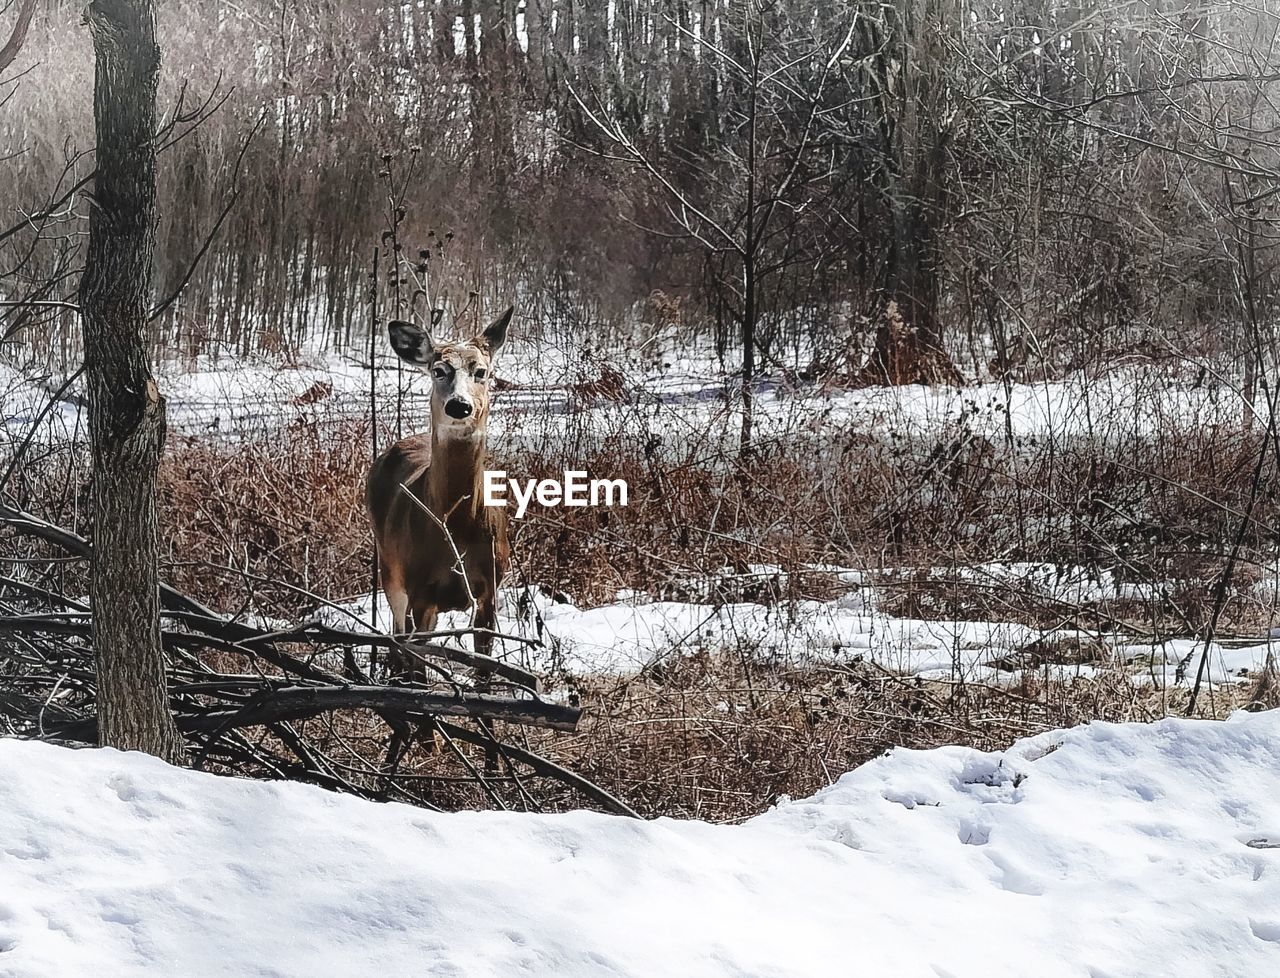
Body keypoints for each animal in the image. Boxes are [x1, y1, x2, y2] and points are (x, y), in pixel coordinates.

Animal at [368, 303, 512, 670]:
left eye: (482, 372)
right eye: (438, 370)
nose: (459, 405)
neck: (456, 527)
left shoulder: (490, 590)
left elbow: (484, 668)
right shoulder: (419, 591)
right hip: (390, 572)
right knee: (396, 638)